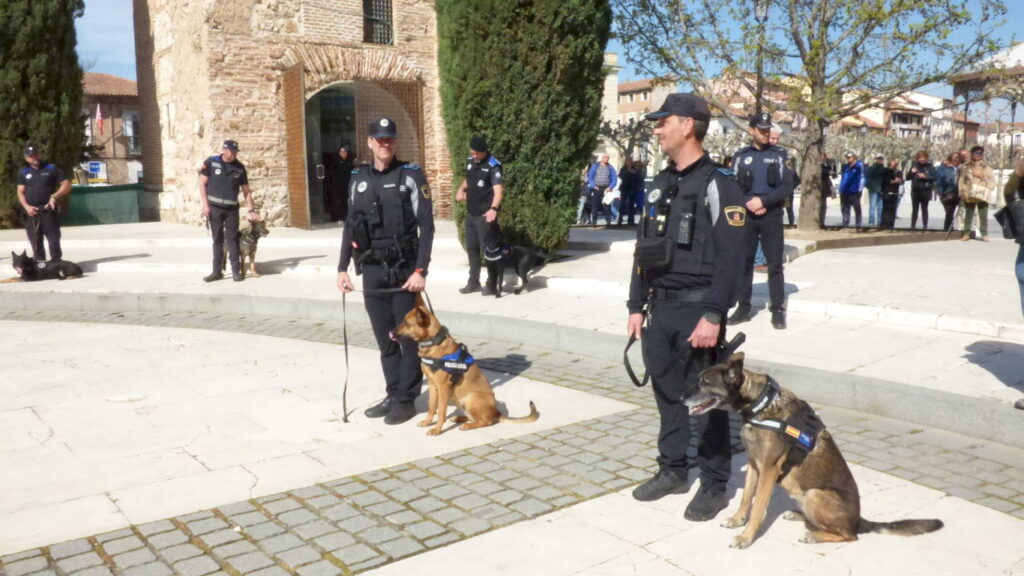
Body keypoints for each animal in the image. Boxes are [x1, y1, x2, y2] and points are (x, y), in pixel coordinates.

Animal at [394, 294, 539, 435]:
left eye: (406, 323)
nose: (392, 332)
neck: (434, 342)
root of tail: (497, 413)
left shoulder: (442, 387)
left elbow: (441, 411)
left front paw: (437, 430)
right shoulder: (432, 385)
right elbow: (431, 406)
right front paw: (427, 422)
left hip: (471, 397)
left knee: (485, 421)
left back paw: (468, 425)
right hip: (459, 400)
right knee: (474, 417)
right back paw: (460, 418)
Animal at [687, 352, 943, 549]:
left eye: (705, 382)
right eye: (698, 380)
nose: (681, 398)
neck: (761, 404)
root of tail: (858, 520)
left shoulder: (768, 470)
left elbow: (758, 506)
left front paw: (746, 537)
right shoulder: (753, 463)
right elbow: (746, 497)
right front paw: (737, 519)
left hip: (815, 494)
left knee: (850, 536)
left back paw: (815, 536)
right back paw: (798, 515)